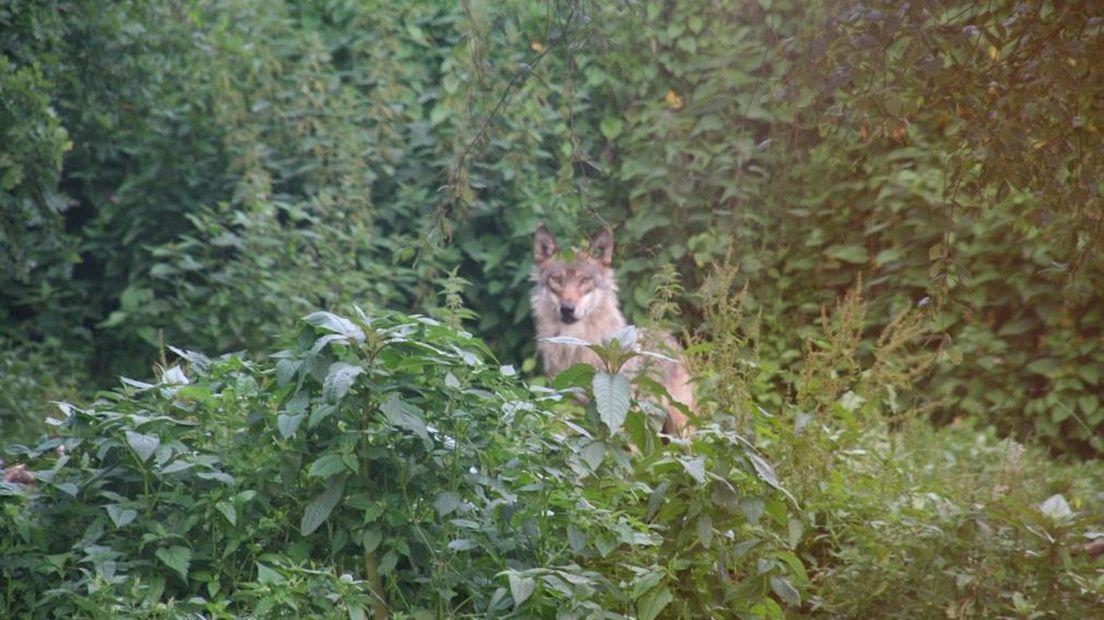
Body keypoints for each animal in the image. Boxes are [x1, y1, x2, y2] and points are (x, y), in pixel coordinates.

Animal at [525, 222, 688, 434]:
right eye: (557, 280)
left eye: (584, 280)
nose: (567, 308)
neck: (575, 347)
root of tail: (671, 339)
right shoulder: (567, 405)